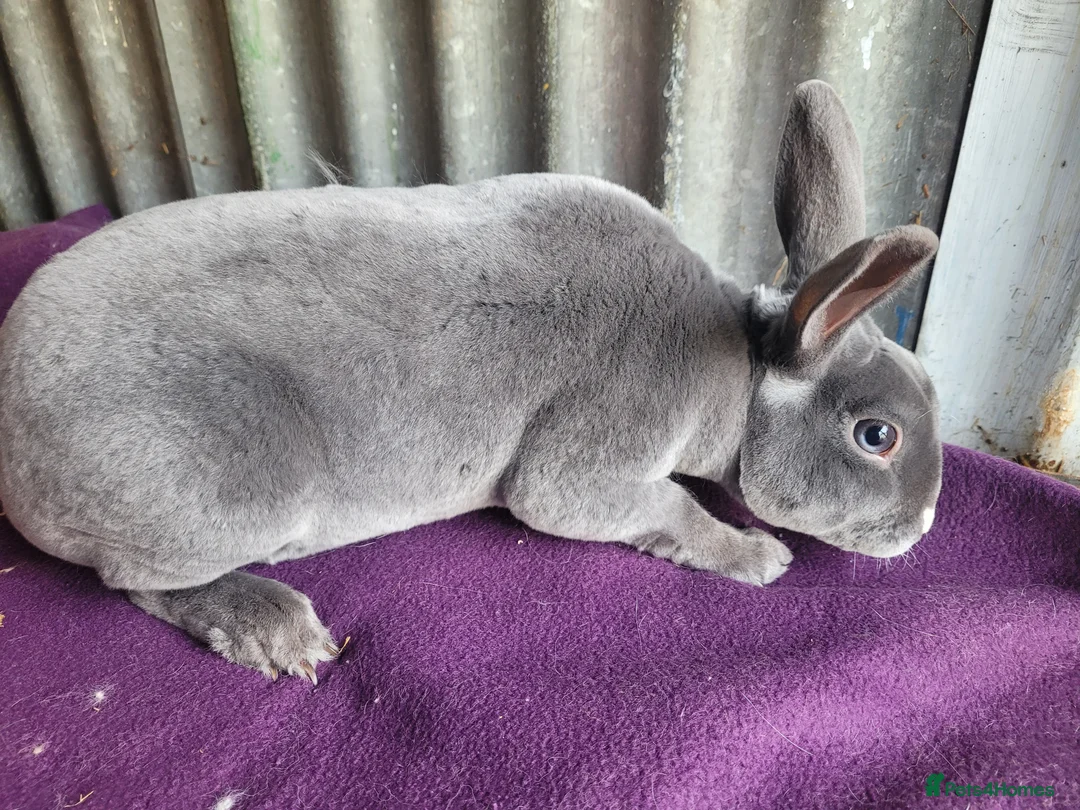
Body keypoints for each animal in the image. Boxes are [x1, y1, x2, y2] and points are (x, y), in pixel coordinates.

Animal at [0, 80, 942, 683]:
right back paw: (278, 631)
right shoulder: (595, 459)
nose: (925, 527)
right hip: (229, 488)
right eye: (877, 436)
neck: (738, 370)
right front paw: (758, 555)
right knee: (135, 580)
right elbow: (660, 507)